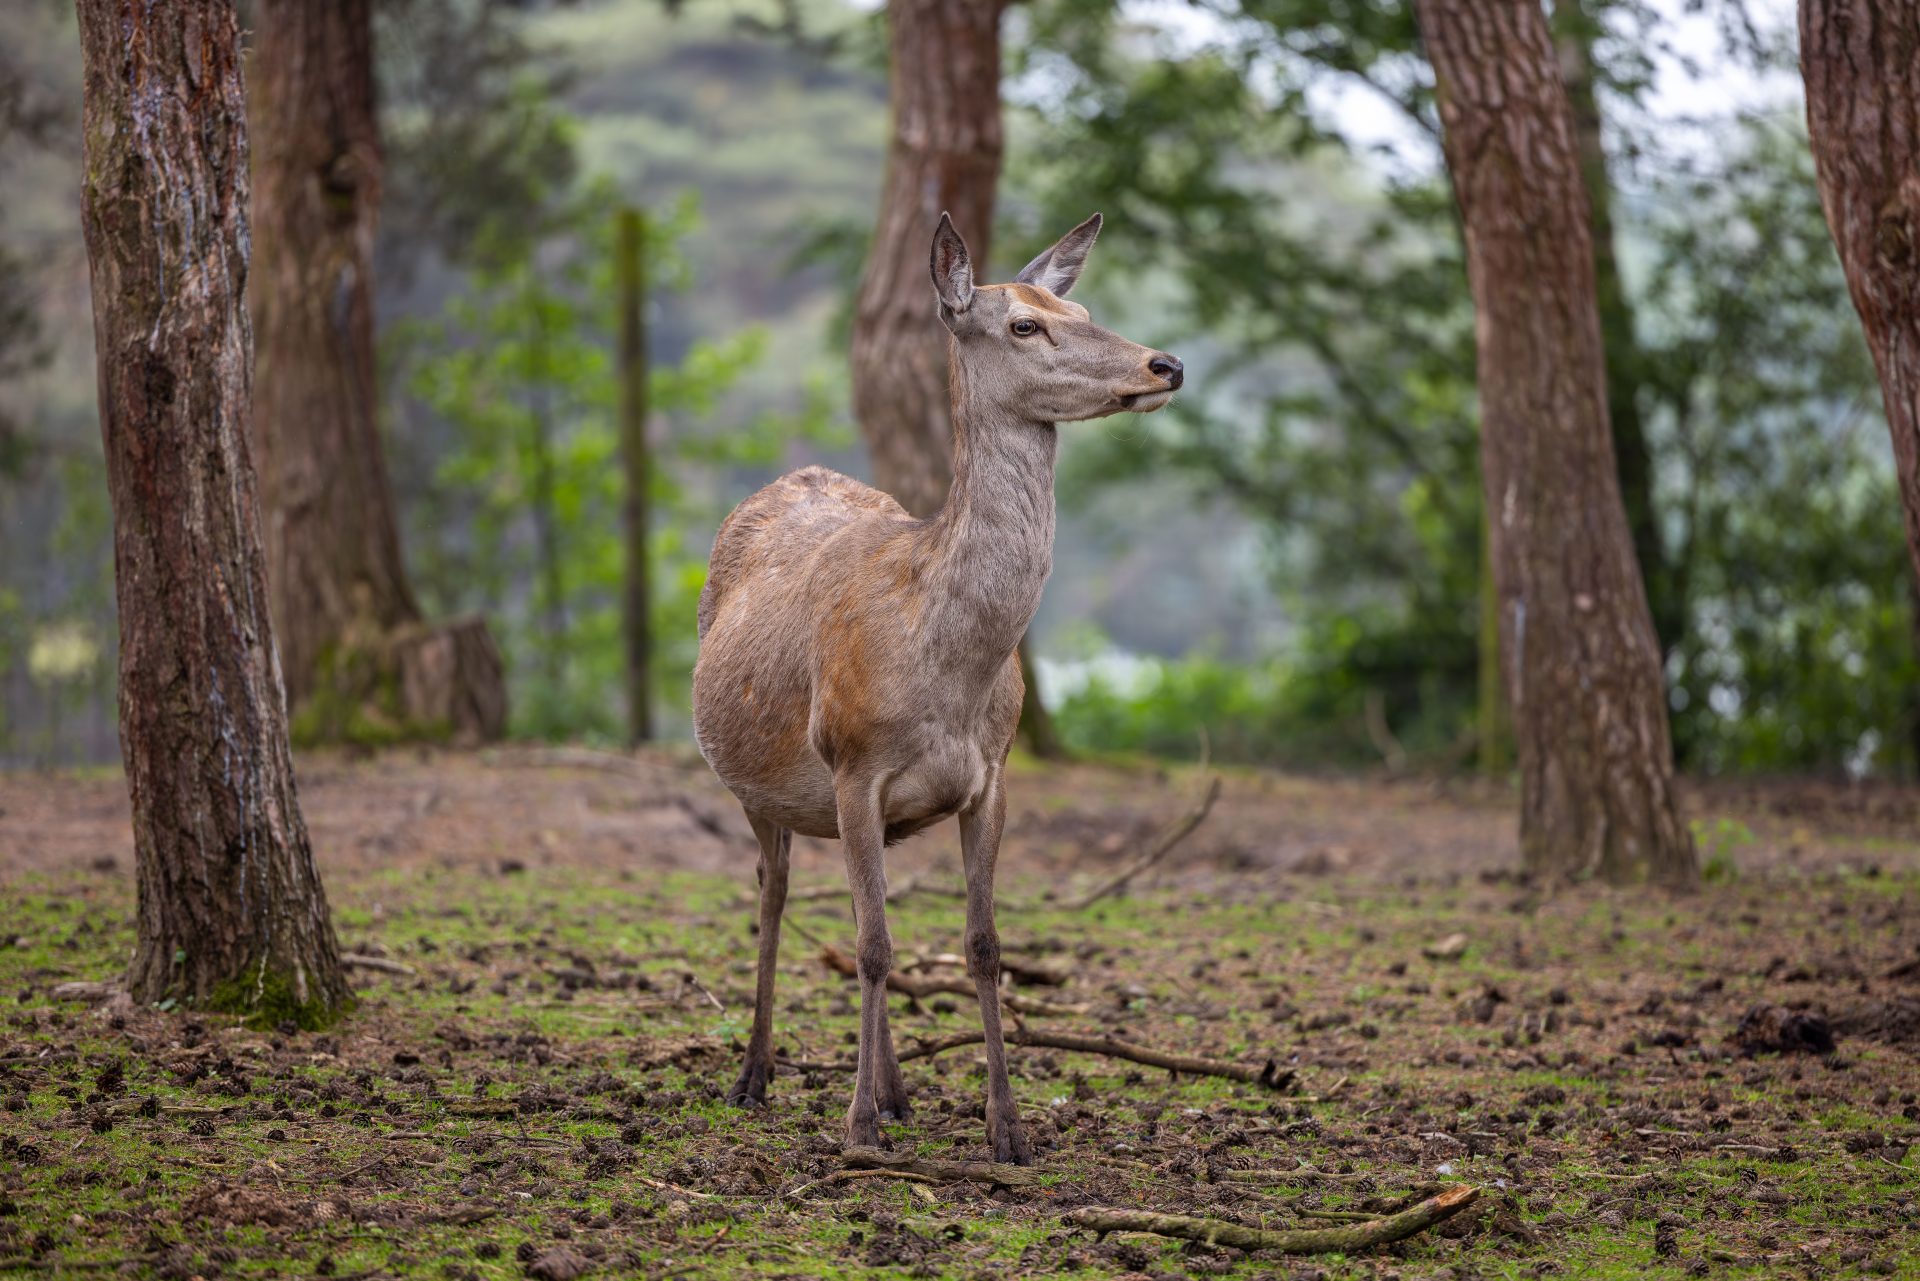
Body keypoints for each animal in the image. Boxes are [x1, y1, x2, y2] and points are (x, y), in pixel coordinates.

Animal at [691, 212, 1183, 1164]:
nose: (1164, 364)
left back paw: (896, 1092)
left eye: (1081, 307)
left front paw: (1007, 1128)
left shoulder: (990, 777)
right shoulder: (853, 764)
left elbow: (980, 943)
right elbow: (875, 946)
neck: (947, 672)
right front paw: (854, 1129)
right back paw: (756, 1075)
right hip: (756, 785)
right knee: (773, 893)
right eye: (1025, 325)